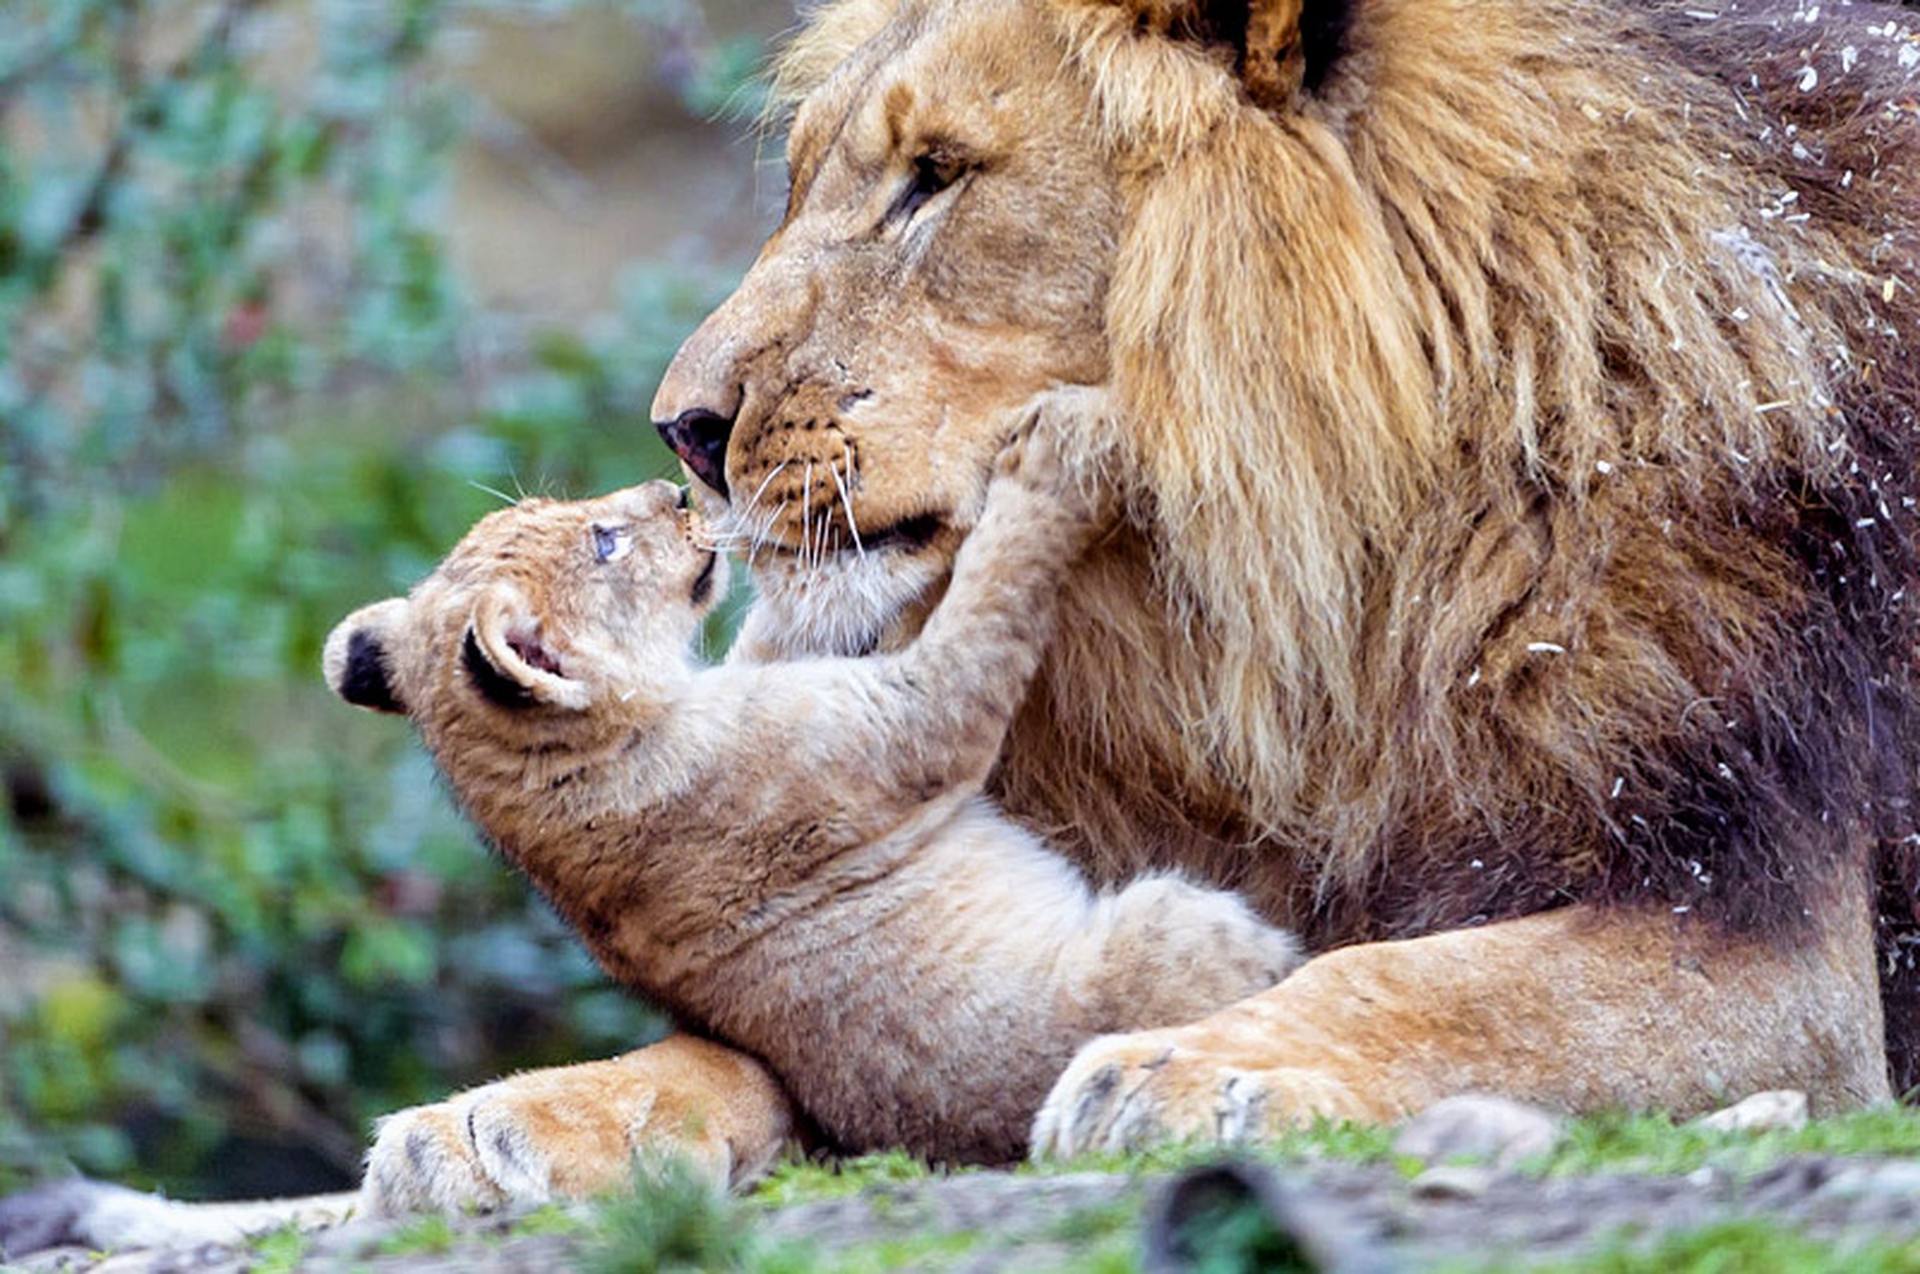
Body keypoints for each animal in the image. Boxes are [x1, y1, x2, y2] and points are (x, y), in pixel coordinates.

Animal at [5, 0, 1919, 1251]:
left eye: (934, 178)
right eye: (810, 180)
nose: (682, 433)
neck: (1276, 597)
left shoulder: (1761, 932)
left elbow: (1454, 980)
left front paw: (1204, 1062)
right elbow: (758, 1036)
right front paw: (511, 1118)